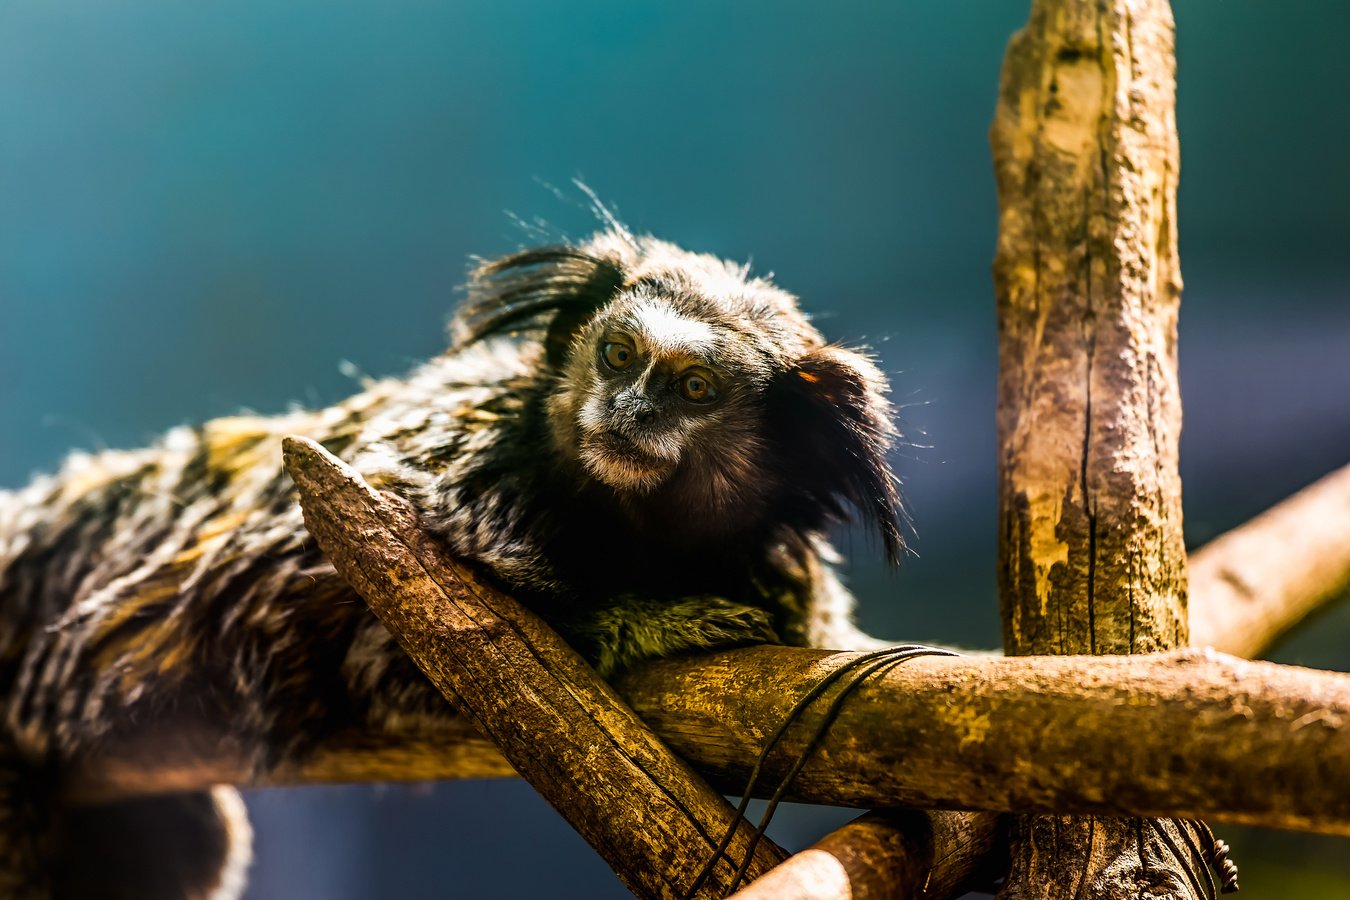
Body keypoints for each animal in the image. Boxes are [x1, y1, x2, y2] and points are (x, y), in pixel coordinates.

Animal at [5, 229, 907, 895]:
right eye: (618, 354)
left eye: (692, 389)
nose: (629, 409)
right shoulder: (434, 478)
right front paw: (654, 622)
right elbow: (395, 642)